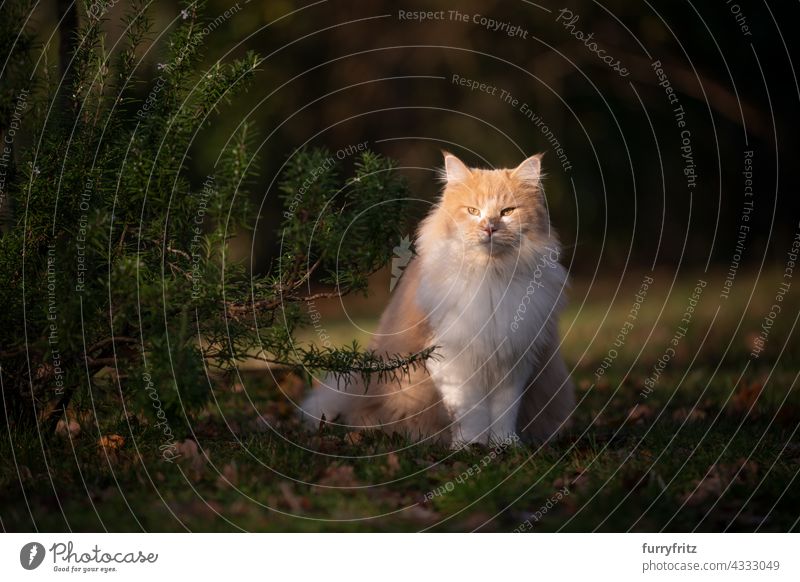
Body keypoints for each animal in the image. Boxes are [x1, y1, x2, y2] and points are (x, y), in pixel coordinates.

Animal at [302, 152, 576, 448]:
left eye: (507, 212)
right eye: (473, 211)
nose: (489, 227)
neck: (490, 275)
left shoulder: (514, 359)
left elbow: (504, 412)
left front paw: (504, 445)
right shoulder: (452, 359)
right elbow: (472, 411)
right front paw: (471, 445)